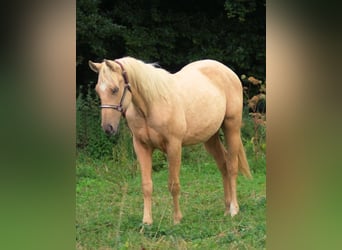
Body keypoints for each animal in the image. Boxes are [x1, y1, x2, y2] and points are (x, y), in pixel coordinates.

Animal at [89, 56, 252, 225]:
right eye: (98, 90)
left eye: (114, 89)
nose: (108, 128)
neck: (151, 105)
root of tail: (228, 72)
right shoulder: (141, 147)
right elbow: (146, 185)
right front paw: (147, 221)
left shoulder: (174, 146)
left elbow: (174, 184)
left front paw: (177, 219)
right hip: (210, 138)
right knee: (223, 166)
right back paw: (226, 209)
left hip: (232, 128)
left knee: (232, 167)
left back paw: (234, 209)